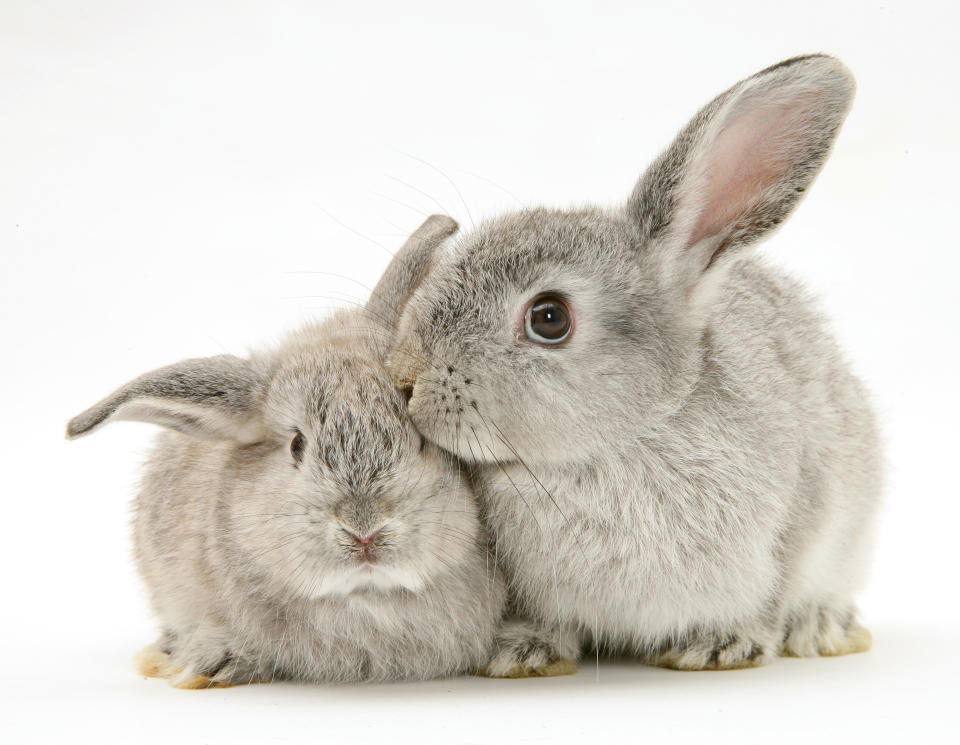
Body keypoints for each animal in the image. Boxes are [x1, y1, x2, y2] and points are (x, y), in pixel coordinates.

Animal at [388, 56, 876, 676]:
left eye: (549, 318)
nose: (406, 379)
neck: (621, 440)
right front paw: (522, 650)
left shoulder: (798, 522)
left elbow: (772, 593)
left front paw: (724, 644)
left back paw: (821, 627)